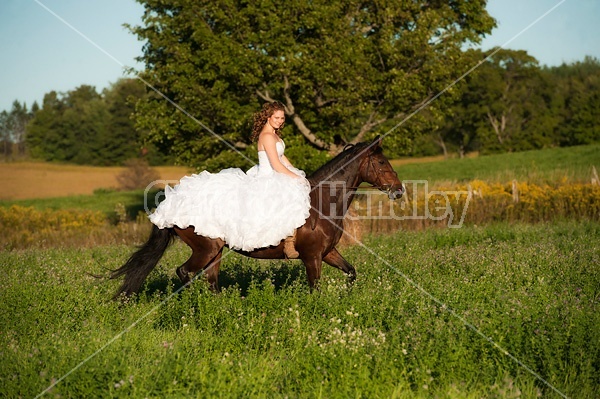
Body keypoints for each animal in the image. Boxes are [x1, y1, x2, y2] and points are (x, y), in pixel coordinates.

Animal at [110, 138, 406, 296]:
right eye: (382, 162)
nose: (399, 189)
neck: (323, 203)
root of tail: (169, 205)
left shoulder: (328, 252)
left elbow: (351, 272)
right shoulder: (312, 257)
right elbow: (315, 288)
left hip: (215, 253)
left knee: (211, 280)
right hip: (206, 249)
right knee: (186, 272)